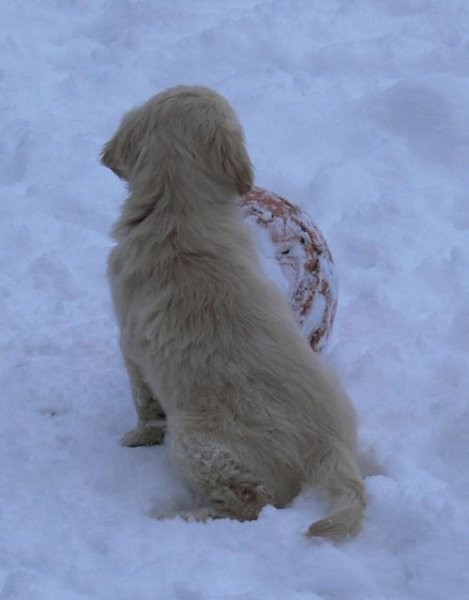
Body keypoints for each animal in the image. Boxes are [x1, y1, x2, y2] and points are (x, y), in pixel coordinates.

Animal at [101, 85, 366, 540]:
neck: (179, 209)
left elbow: (145, 404)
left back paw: (180, 517)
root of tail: (330, 445)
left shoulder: (130, 344)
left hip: (198, 441)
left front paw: (137, 437)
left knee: (249, 502)